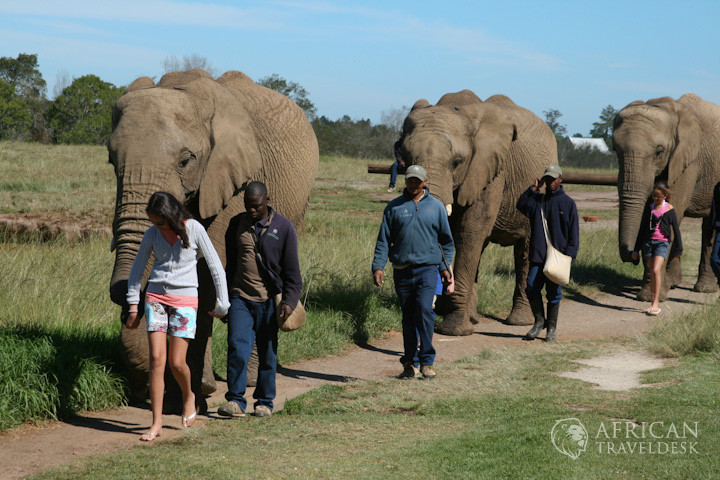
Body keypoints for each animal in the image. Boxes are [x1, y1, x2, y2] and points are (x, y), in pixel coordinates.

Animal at [107, 69, 319, 408]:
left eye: (185, 161)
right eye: (112, 161)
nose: (142, 390)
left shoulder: (230, 179)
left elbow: (209, 270)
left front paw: (196, 392)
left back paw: (249, 382)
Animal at [399, 90, 558, 335]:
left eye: (457, 162)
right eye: (405, 158)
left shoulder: (490, 171)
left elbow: (469, 232)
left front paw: (453, 330)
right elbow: (455, 235)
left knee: (526, 249)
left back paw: (518, 322)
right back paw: (474, 318)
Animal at [614, 94, 720, 300]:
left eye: (659, 151)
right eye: (615, 150)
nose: (633, 256)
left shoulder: (689, 162)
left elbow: (671, 212)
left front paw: (650, 297)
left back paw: (704, 289)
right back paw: (674, 283)